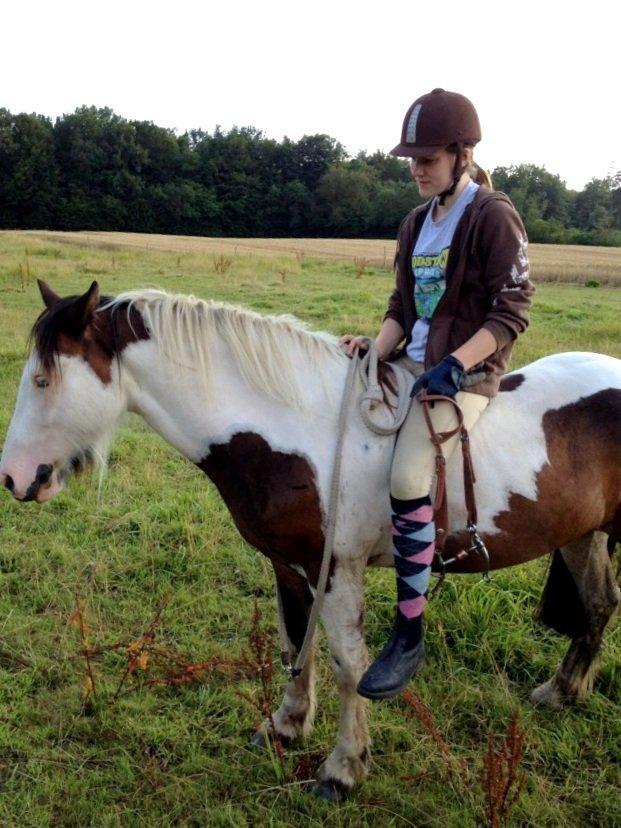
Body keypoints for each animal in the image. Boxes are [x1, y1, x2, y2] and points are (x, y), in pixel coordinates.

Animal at [3, 280, 620, 804]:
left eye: (43, 381)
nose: (12, 477)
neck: (300, 433)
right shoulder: (289, 564)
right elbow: (295, 646)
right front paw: (285, 727)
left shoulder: (338, 569)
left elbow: (349, 664)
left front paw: (342, 769)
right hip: (581, 534)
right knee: (597, 605)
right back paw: (562, 693)